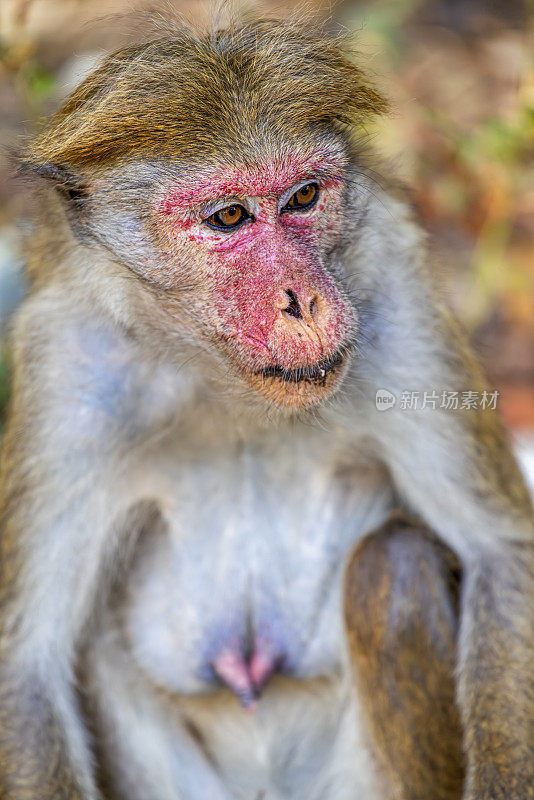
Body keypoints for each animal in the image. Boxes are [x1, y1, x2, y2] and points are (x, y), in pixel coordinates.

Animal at [0, 12, 532, 800]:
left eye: (304, 198)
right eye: (229, 216)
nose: (302, 300)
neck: (226, 384)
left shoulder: (396, 296)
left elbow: (502, 556)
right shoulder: (67, 367)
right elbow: (28, 671)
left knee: (394, 567)